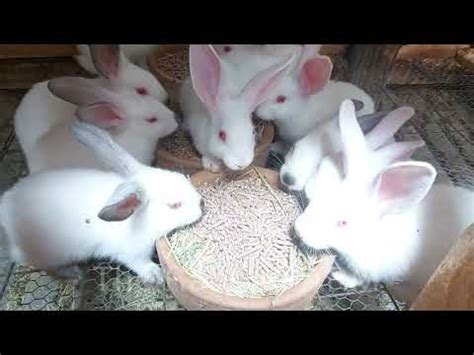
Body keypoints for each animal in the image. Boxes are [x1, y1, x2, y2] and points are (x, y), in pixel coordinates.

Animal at [0, 121, 202, 286]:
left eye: (182, 178)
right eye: (174, 205)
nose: (201, 206)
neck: (142, 221)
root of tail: (6, 205)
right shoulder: (131, 253)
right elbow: (140, 263)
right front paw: (155, 276)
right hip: (47, 254)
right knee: (45, 267)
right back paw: (72, 274)